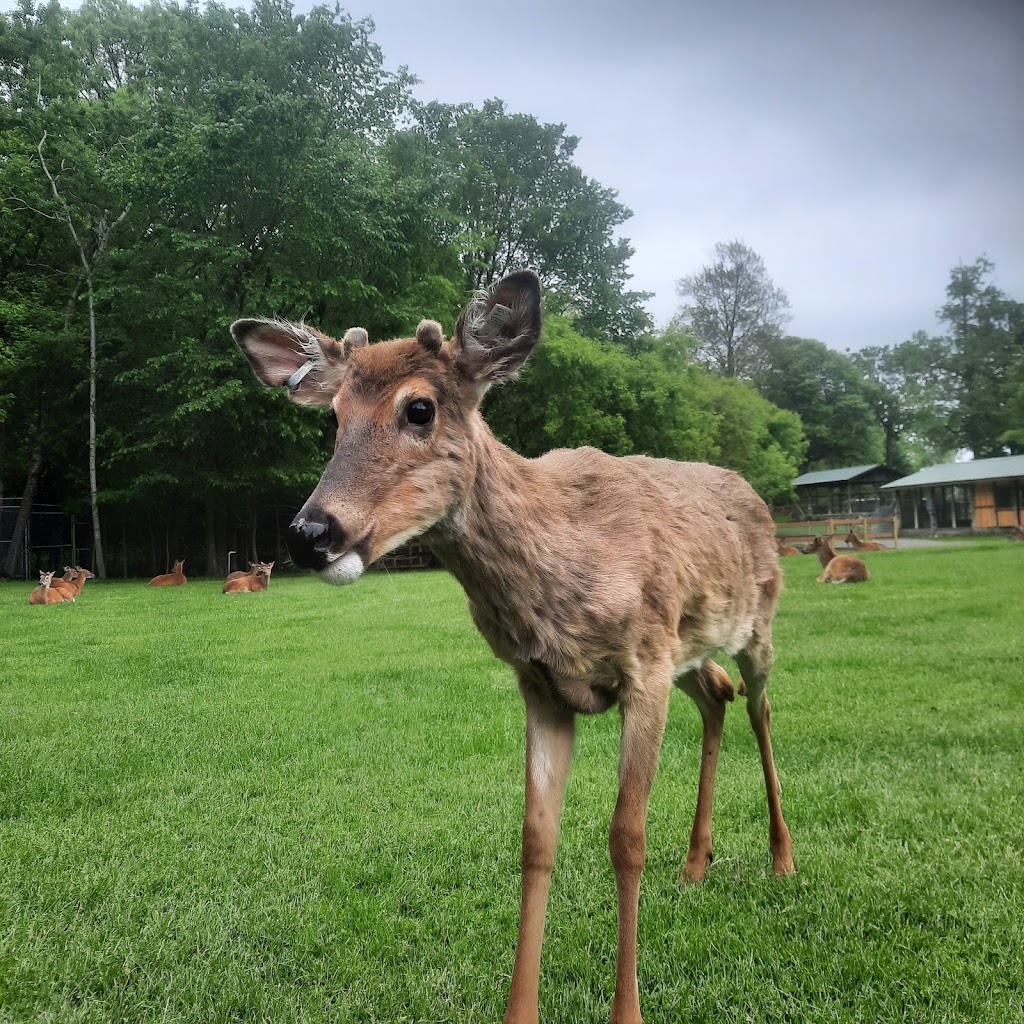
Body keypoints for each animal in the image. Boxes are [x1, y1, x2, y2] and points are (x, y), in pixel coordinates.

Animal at [235, 272, 794, 1024]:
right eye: (334, 418)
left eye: (419, 408)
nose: (310, 533)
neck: (562, 574)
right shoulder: (542, 684)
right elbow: (535, 840)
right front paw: (519, 1009)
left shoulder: (643, 664)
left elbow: (626, 838)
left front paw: (628, 1011)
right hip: (691, 646)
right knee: (717, 698)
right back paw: (695, 864)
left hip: (754, 626)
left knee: (761, 707)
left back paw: (782, 859)